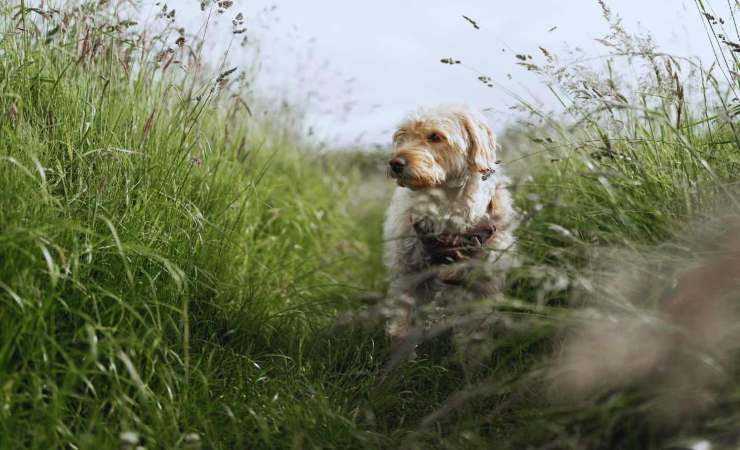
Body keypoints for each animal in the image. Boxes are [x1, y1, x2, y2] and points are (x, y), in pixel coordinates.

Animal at [384, 105, 516, 358]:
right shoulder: (410, 272)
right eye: (402, 135)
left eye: (435, 137)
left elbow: (477, 327)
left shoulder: (483, 280)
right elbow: (404, 315)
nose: (395, 163)